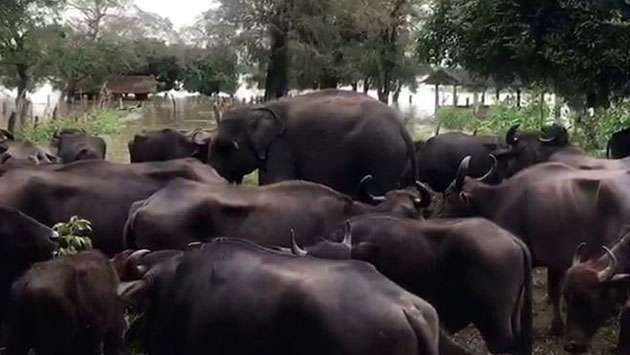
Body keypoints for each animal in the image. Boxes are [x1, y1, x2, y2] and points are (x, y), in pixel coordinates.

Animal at [209, 89, 420, 200]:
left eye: (224, 147)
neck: (255, 109)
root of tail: (402, 127)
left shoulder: (282, 146)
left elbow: (280, 180)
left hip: (382, 155)